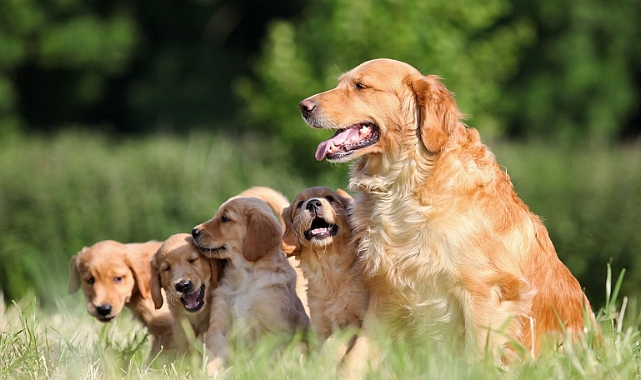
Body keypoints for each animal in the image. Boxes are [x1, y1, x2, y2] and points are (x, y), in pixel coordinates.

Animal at [300, 58, 596, 376]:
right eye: (341, 83)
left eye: (360, 86)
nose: (303, 106)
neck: (404, 184)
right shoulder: (385, 294)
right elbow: (357, 355)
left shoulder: (484, 292)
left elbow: (477, 357)